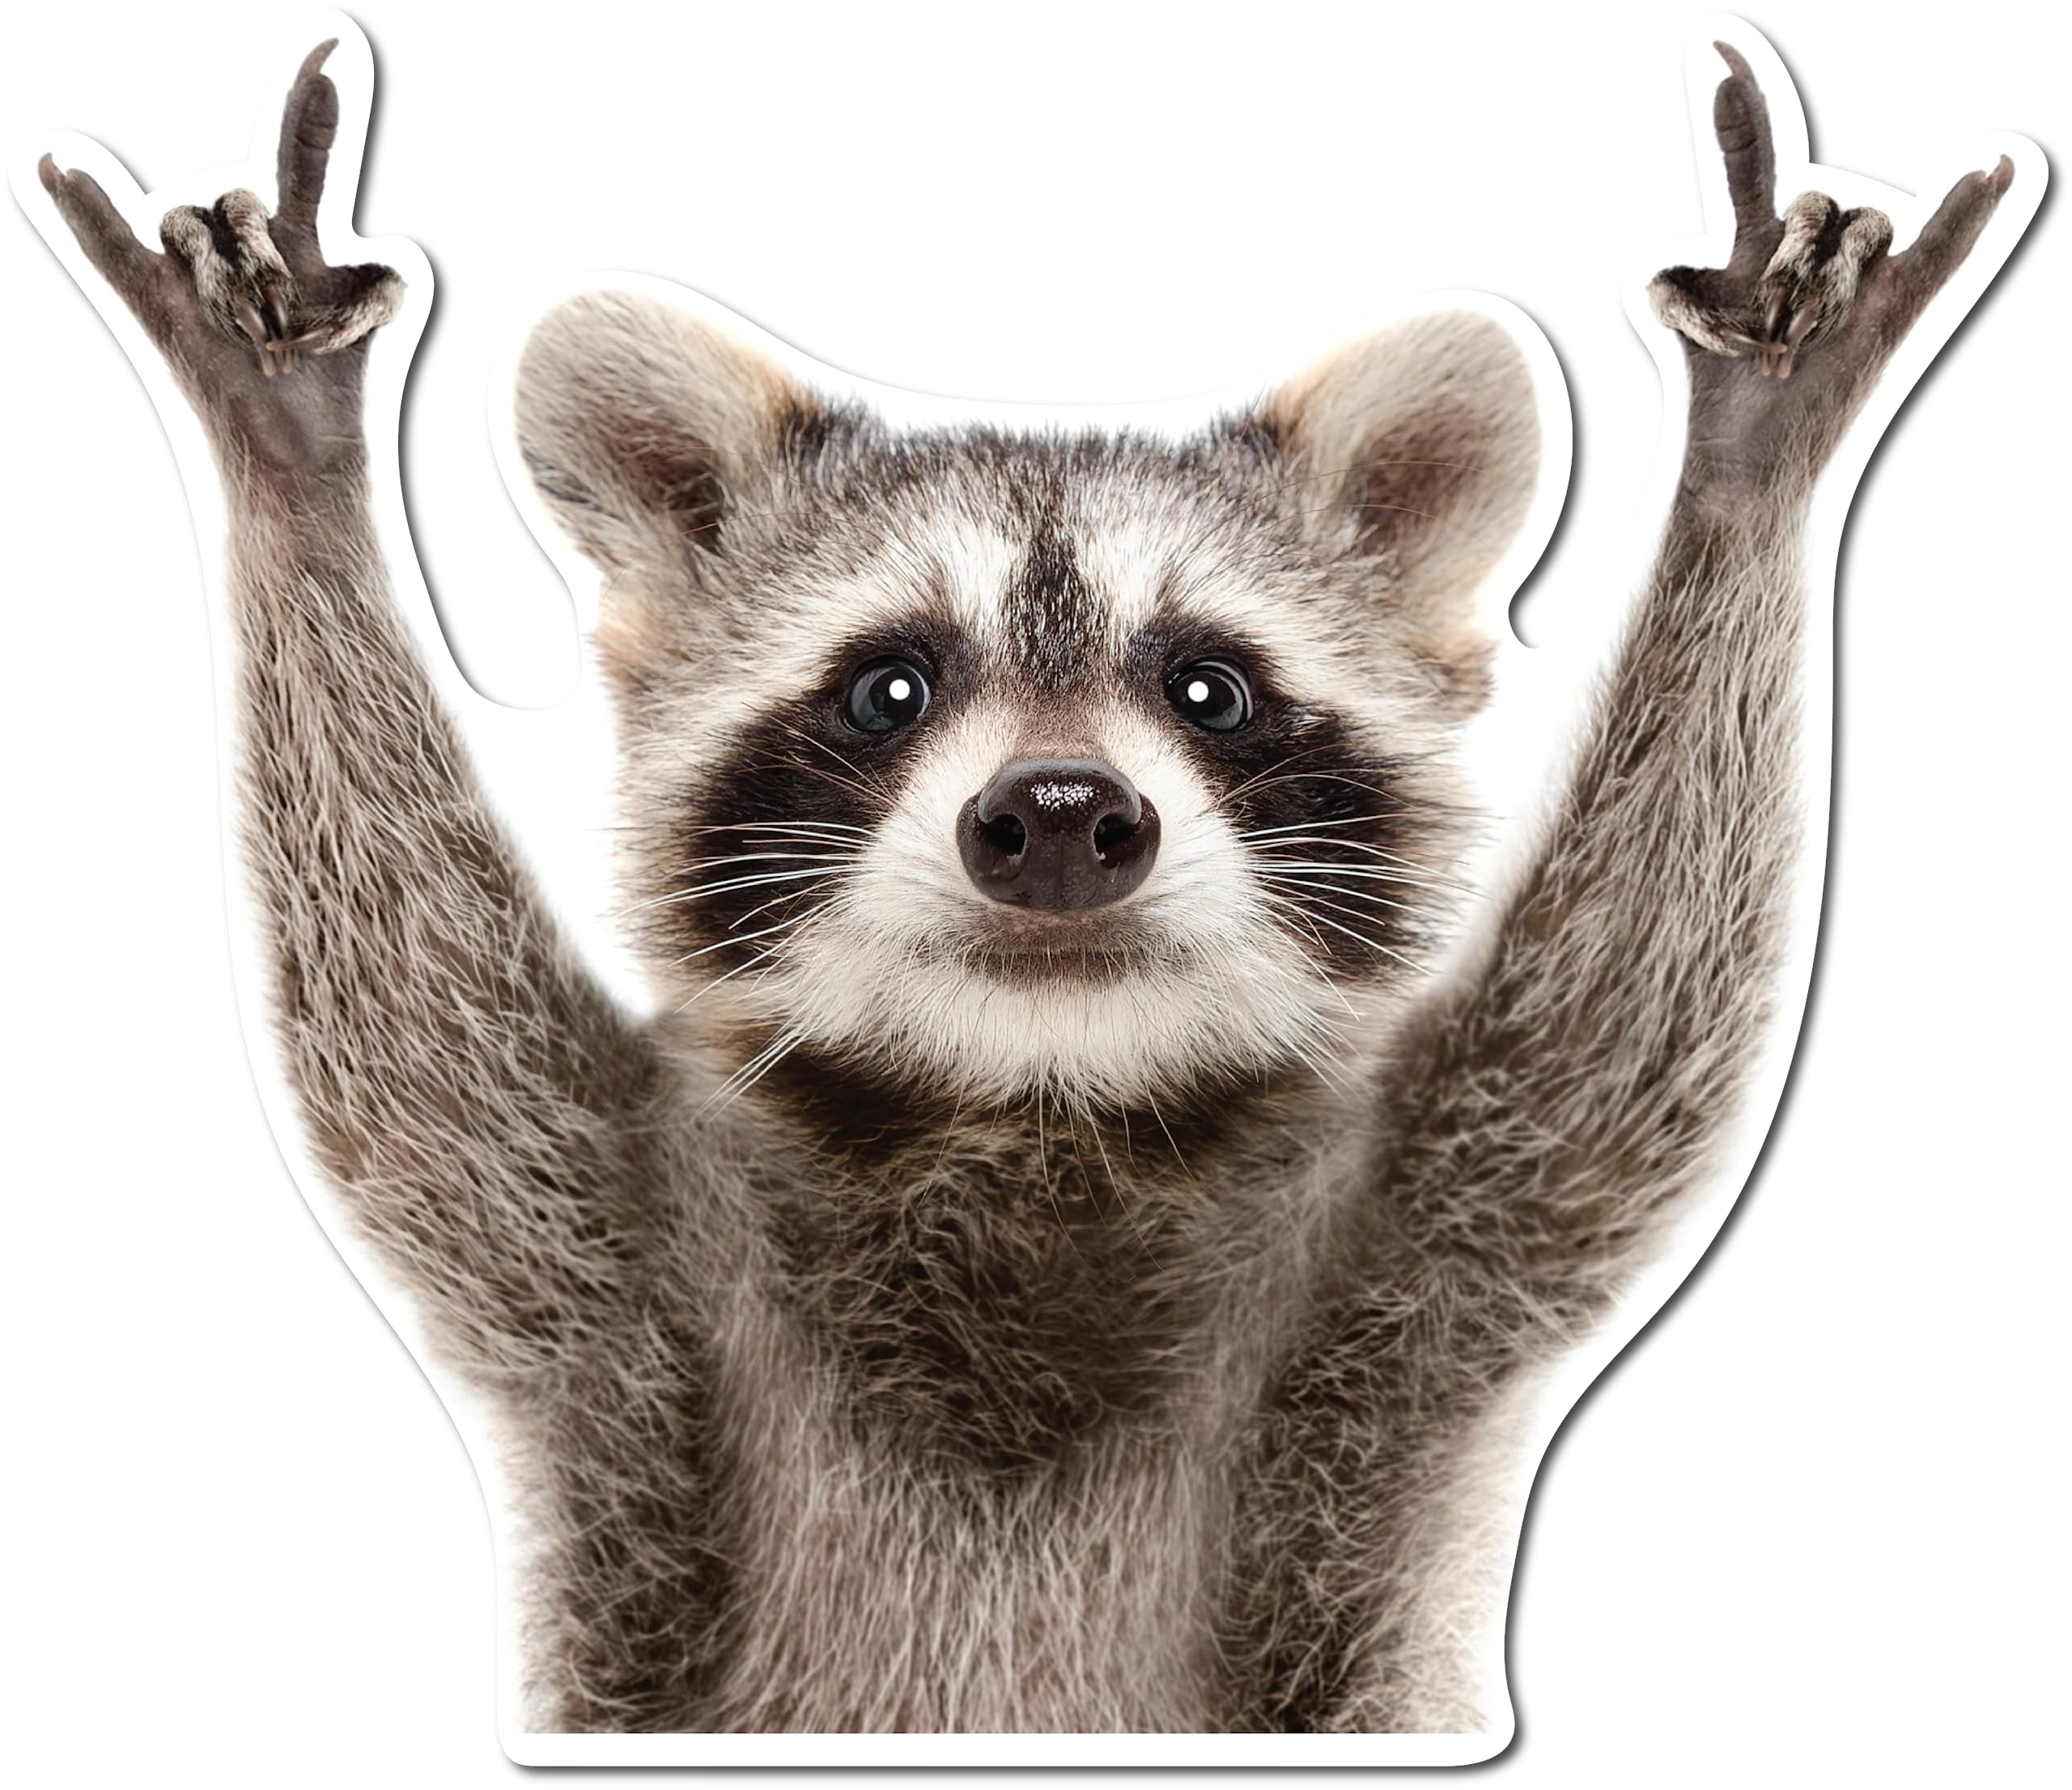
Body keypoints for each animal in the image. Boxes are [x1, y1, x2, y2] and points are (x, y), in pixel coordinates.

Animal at [35, 31, 2026, 1737]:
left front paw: (1748, 472)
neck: (1032, 1101)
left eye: (1207, 687)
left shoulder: (1410, 1260)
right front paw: (293, 471)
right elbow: (412, 1035)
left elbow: (1617, 1041)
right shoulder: (622, 1264)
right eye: (889, 686)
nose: (1061, 814)